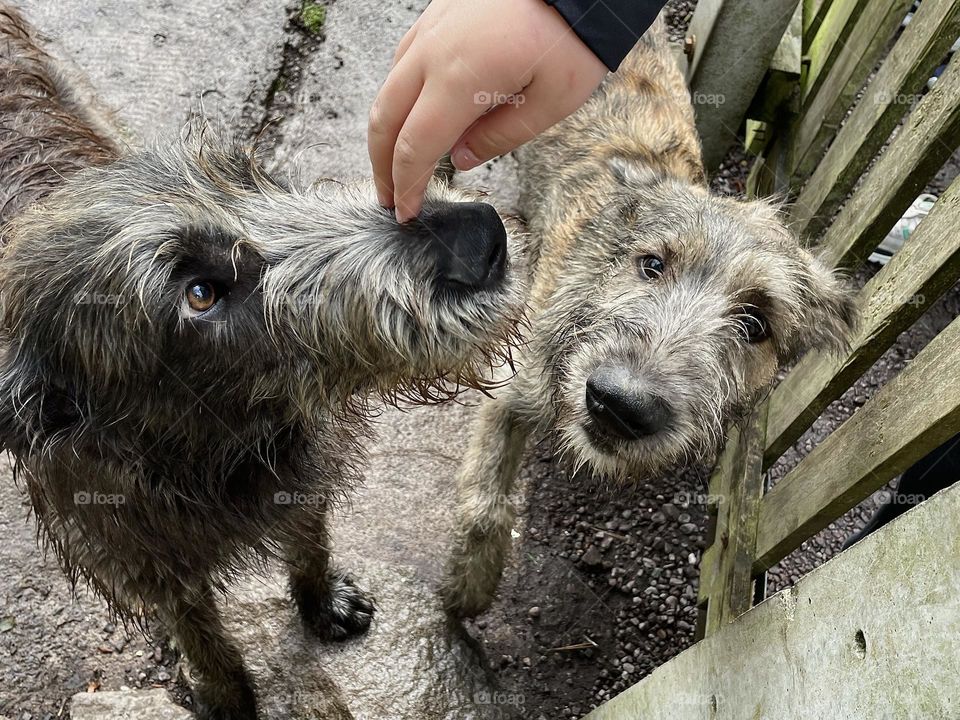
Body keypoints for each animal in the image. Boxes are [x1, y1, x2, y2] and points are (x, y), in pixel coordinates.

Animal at [0, 2, 520, 716]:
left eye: (254, 180)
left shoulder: (302, 467)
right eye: (200, 294)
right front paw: (227, 694)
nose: (479, 237)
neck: (216, 452)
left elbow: (308, 538)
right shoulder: (147, 562)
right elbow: (204, 640)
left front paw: (321, 600)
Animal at [440, 22, 856, 620]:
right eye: (652, 264)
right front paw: (469, 586)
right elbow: (485, 503)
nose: (620, 404)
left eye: (756, 325)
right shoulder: (512, 391)